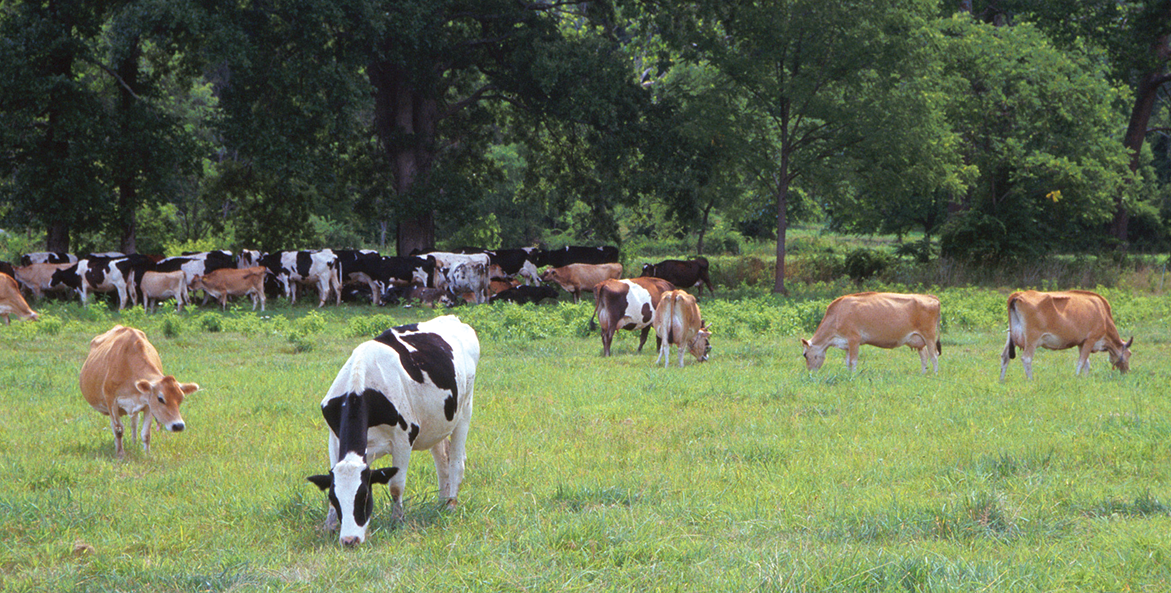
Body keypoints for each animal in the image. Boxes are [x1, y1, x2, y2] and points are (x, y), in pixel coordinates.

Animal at [79, 323, 200, 459]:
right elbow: (118, 429)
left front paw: (147, 455)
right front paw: (120, 454)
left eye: (181, 399)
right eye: (160, 398)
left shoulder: (148, 405)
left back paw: (134, 442)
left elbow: (146, 433)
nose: (178, 425)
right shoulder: (111, 401)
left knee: (134, 422)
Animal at [309, 316, 482, 543]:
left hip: (465, 410)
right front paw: (329, 525)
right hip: (436, 424)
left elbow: (396, 485)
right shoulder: (334, 437)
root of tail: (452, 318)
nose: (349, 540)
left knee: (455, 462)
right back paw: (442, 503)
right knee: (442, 461)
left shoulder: (403, 439)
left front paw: (397, 520)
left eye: (364, 496)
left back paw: (451, 506)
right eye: (334, 498)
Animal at [796, 290, 941, 370]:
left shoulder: (854, 339)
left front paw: (853, 377)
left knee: (934, 356)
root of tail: (930, 297)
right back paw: (923, 374)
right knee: (924, 357)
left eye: (804, 354)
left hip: (929, 336)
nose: (810, 372)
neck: (836, 315)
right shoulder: (847, 344)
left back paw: (935, 375)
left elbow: (853, 361)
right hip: (918, 340)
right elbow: (847, 362)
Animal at [997, 290, 1133, 379]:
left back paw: (1001, 381)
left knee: (1005, 356)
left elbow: (1087, 364)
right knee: (1026, 358)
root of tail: (1018, 294)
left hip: (1010, 335)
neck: (1103, 315)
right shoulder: (1091, 339)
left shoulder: (1082, 342)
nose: (1127, 371)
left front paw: (1085, 379)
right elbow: (1081, 362)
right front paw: (1076, 378)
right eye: (1129, 354)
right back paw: (1031, 381)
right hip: (1032, 337)